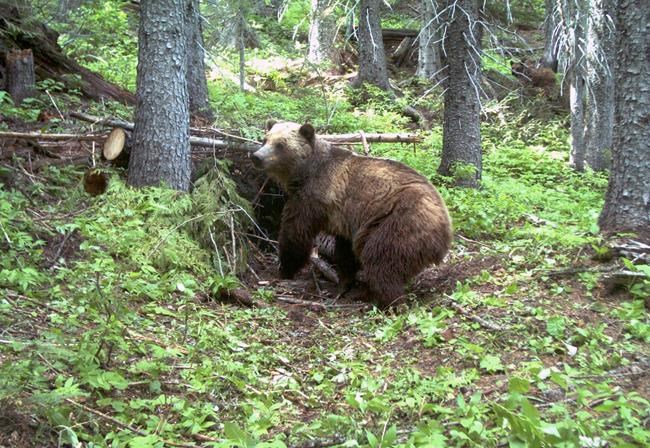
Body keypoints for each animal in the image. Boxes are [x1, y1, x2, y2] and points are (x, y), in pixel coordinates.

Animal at [251, 121, 453, 308]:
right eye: (265, 139)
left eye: (281, 144)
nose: (257, 156)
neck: (304, 172)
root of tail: (445, 232)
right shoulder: (344, 218)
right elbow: (344, 252)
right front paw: (344, 282)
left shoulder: (314, 196)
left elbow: (295, 232)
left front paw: (284, 269)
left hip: (399, 221)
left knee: (381, 259)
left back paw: (385, 299)